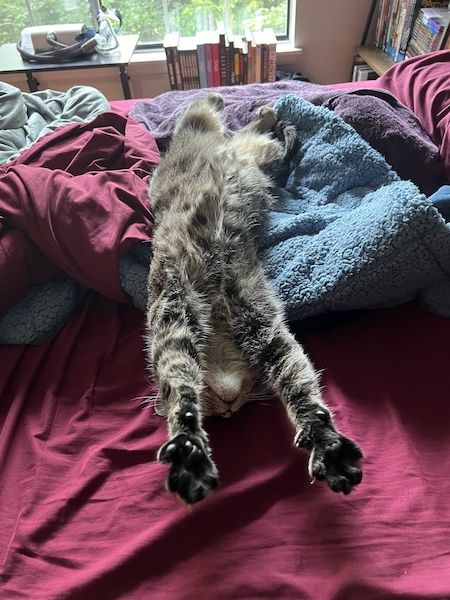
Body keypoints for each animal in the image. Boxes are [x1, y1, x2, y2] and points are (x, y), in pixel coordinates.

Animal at [146, 94, 364, 504]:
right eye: (218, 412)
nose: (232, 408)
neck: (216, 320)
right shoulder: (175, 322)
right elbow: (180, 381)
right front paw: (188, 443)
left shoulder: (255, 322)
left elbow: (298, 382)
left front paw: (326, 444)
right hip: (262, 154)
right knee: (262, 134)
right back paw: (270, 116)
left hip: (207, 132)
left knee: (206, 109)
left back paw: (244, 105)